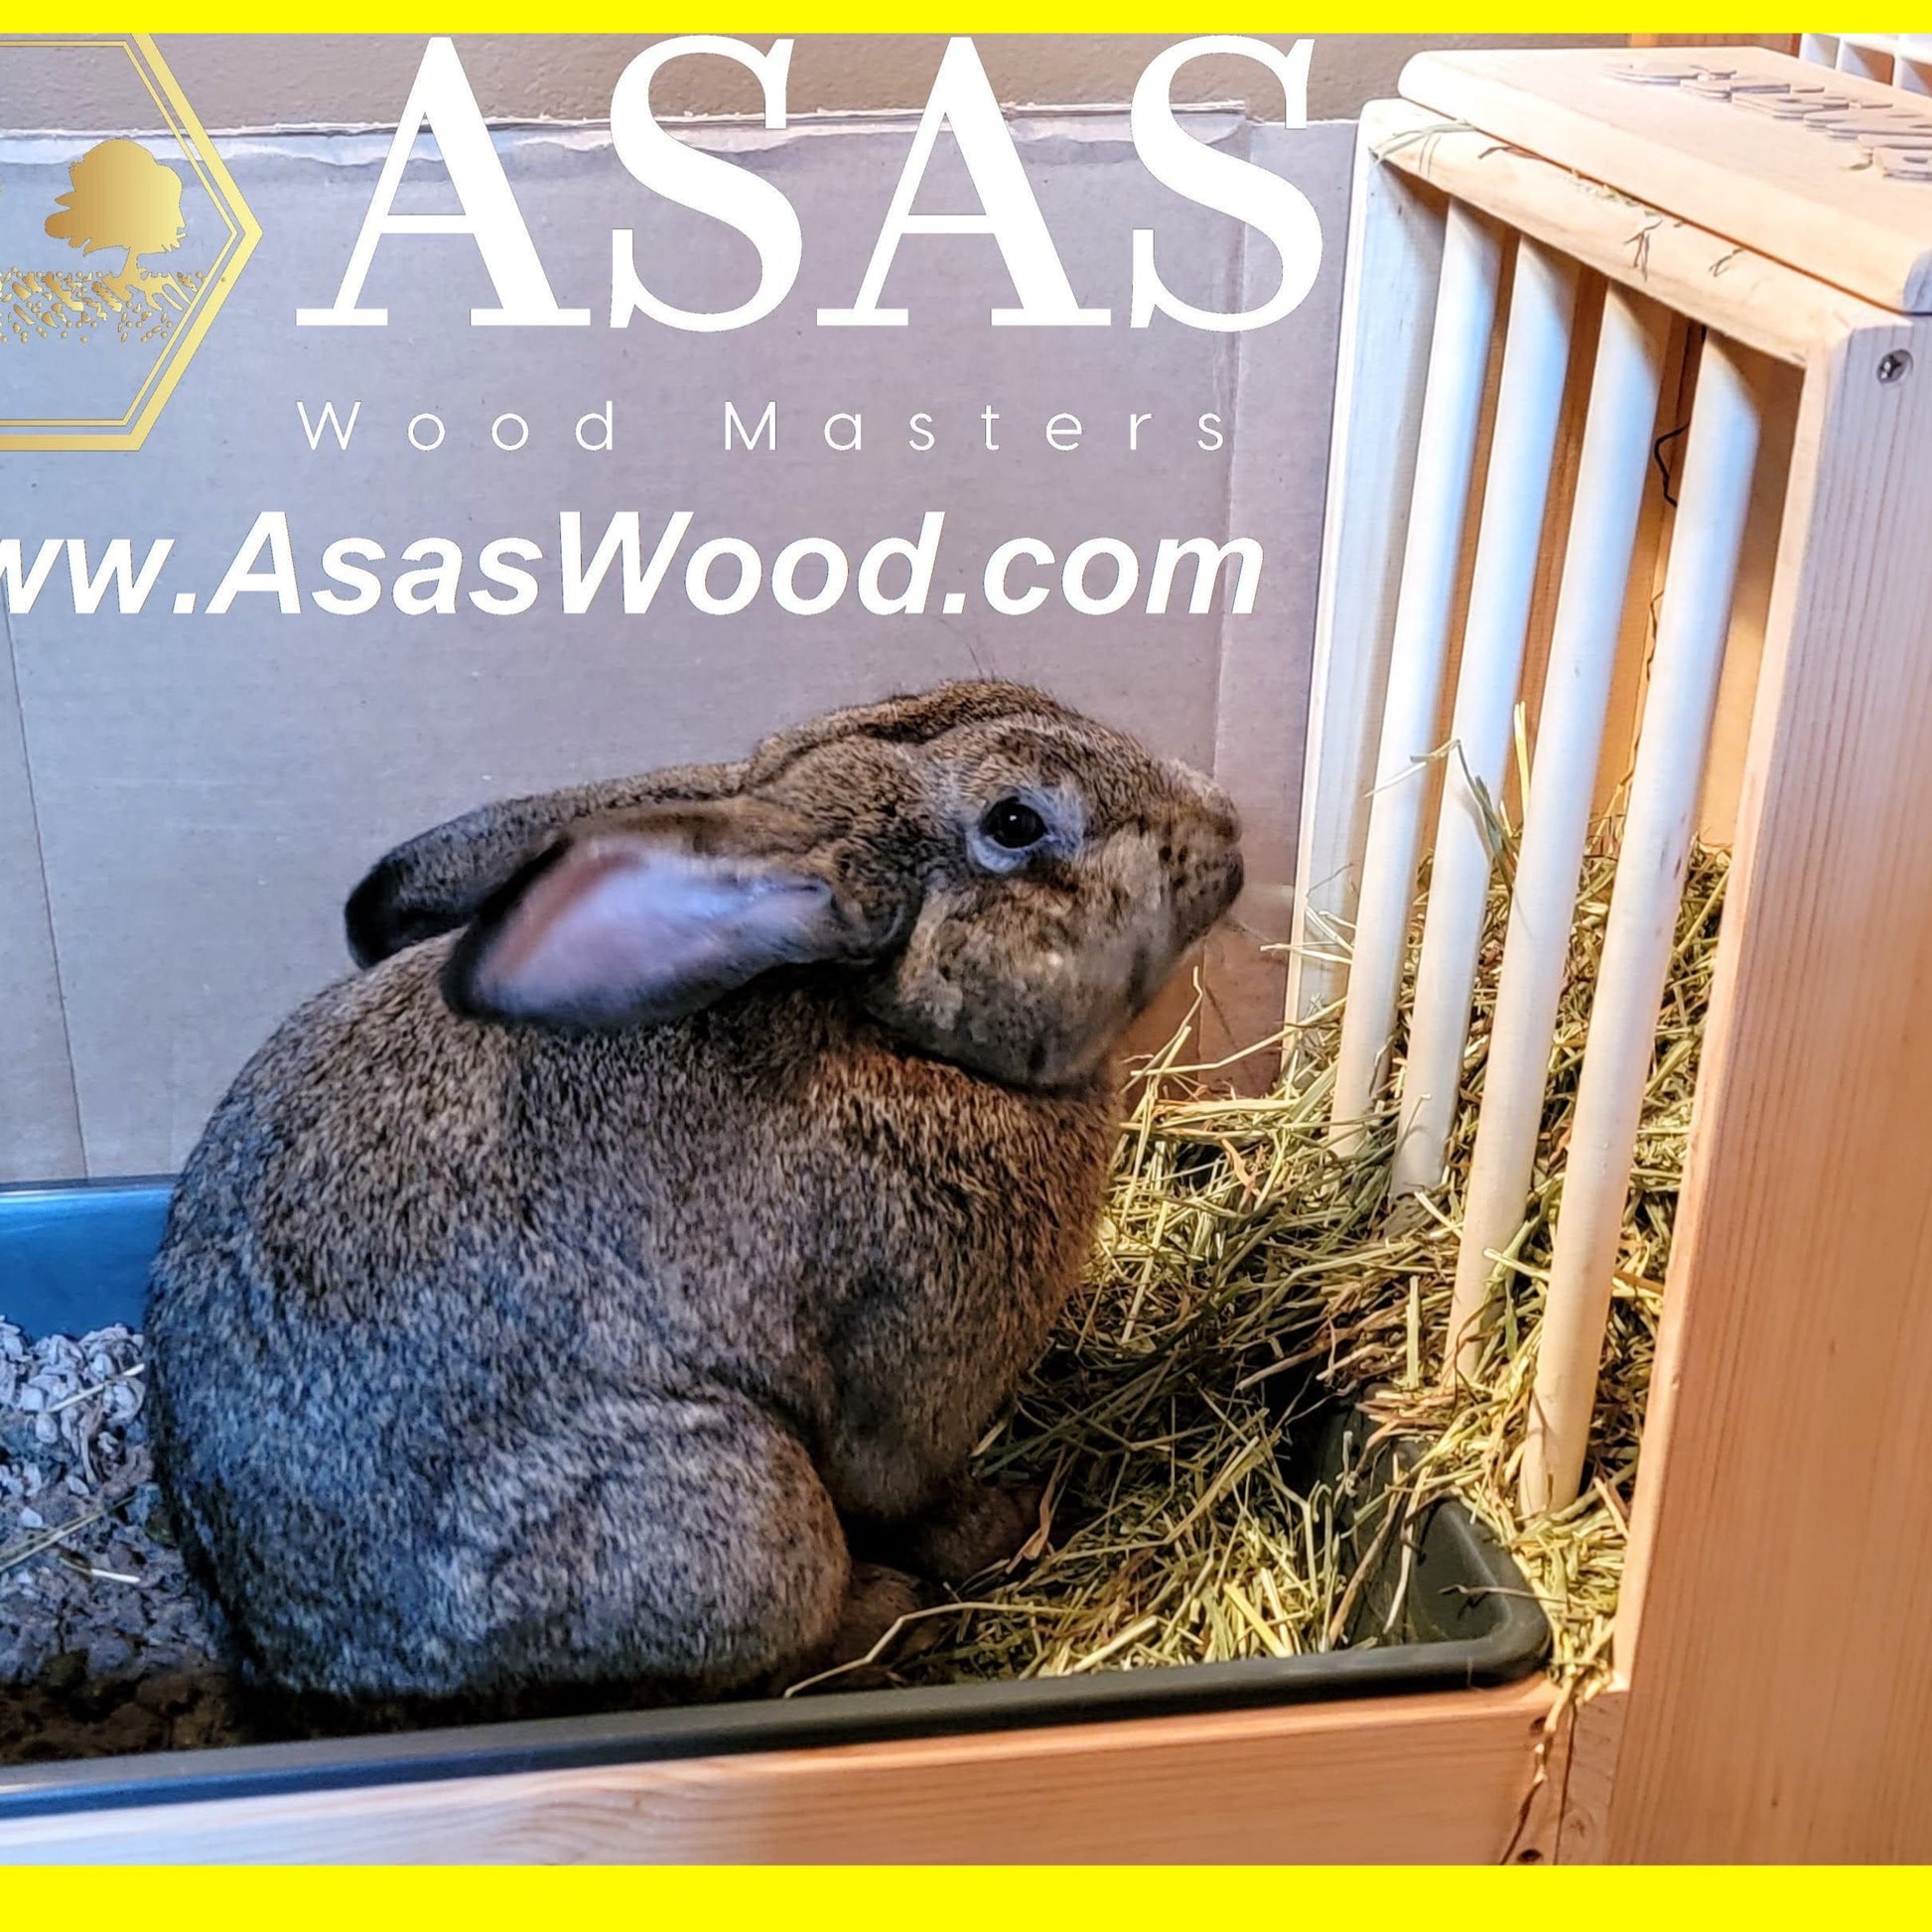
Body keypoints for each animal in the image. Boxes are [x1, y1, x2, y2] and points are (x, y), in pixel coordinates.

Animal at [144, 679, 1244, 1722]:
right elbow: (915, 1492)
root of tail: (307, 1676)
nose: (1226, 821)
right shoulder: (914, 1374)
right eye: (1016, 822)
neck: (882, 1021)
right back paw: (887, 1611)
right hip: (746, 1514)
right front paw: (1015, 1520)